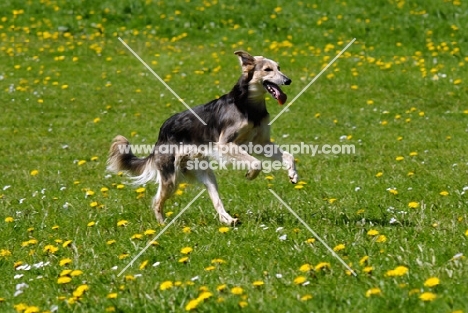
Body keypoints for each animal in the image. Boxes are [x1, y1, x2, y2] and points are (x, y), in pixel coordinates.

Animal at [107, 50, 298, 223]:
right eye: (267, 69)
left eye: (279, 68)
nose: (288, 80)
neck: (249, 106)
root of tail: (162, 133)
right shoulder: (225, 144)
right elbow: (257, 163)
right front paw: (251, 174)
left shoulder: (260, 143)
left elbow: (289, 155)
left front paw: (293, 174)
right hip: (170, 179)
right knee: (156, 202)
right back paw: (163, 225)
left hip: (206, 175)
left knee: (216, 201)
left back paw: (228, 219)